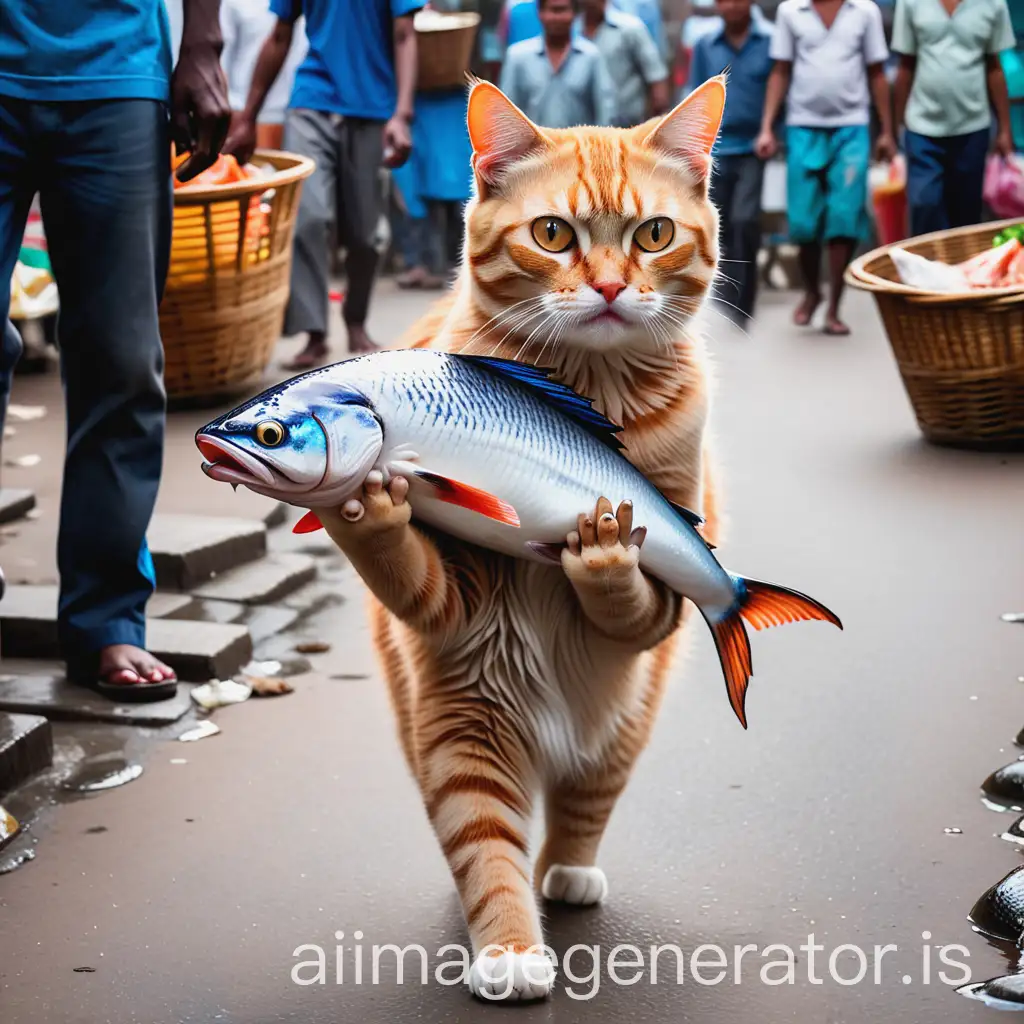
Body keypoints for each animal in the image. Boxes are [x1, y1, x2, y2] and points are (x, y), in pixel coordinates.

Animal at [319, 77, 729, 999]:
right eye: (553, 235)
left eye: (653, 235)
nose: (610, 287)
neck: (591, 393)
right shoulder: (457, 626)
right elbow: (483, 843)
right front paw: (508, 952)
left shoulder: (661, 603)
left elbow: (630, 597)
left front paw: (604, 552)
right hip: (460, 714)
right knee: (478, 824)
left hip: (624, 718)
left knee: (584, 798)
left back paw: (568, 870)